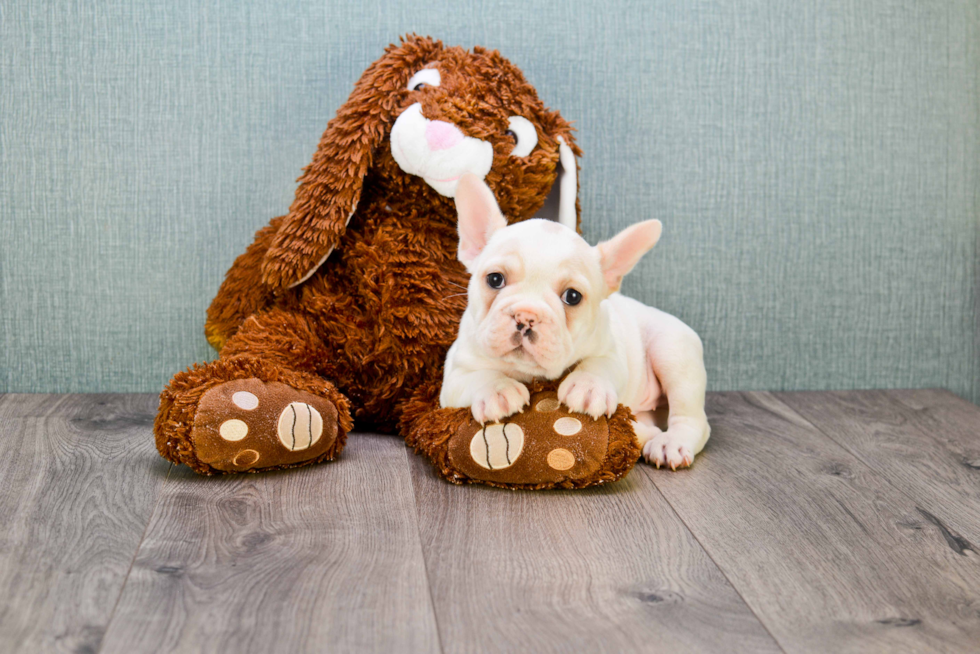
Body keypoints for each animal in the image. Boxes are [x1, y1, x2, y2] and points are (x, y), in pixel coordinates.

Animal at [440, 174, 708, 472]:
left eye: (572, 296)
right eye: (495, 279)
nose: (526, 316)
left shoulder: (611, 350)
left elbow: (599, 364)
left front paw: (588, 386)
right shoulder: (453, 375)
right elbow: (476, 376)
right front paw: (498, 390)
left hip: (672, 352)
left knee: (693, 419)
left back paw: (670, 444)